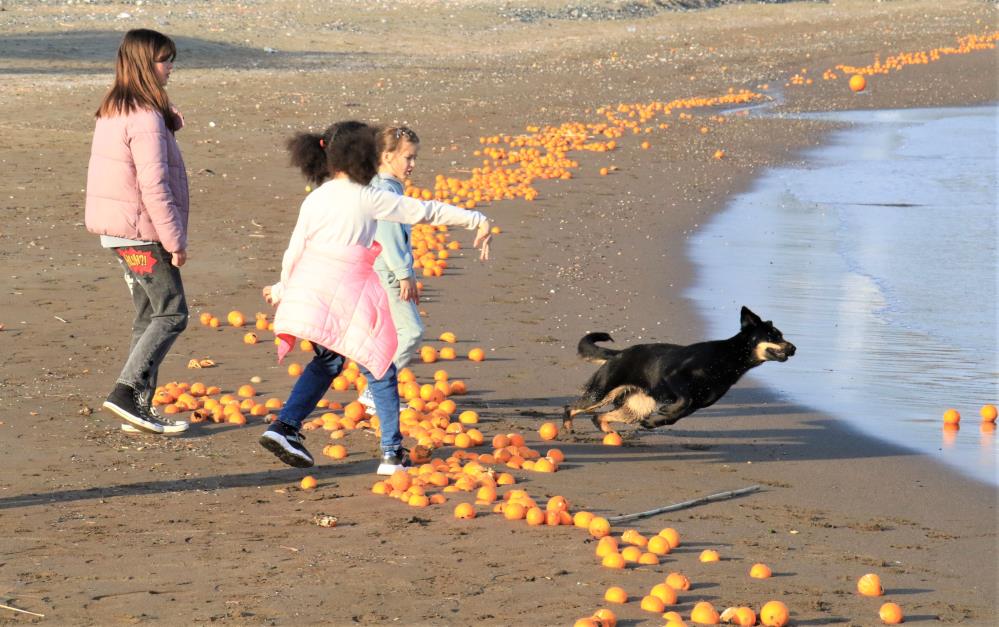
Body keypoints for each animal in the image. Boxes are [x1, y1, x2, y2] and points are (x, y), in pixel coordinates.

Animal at [564, 306, 796, 434]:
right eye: (774, 335)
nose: (794, 348)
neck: (727, 358)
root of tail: (618, 354)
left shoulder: (698, 404)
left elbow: (677, 414)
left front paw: (655, 421)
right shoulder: (674, 377)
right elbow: (684, 400)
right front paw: (660, 416)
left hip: (637, 407)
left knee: (598, 417)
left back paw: (610, 432)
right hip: (600, 393)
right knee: (571, 407)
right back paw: (567, 427)